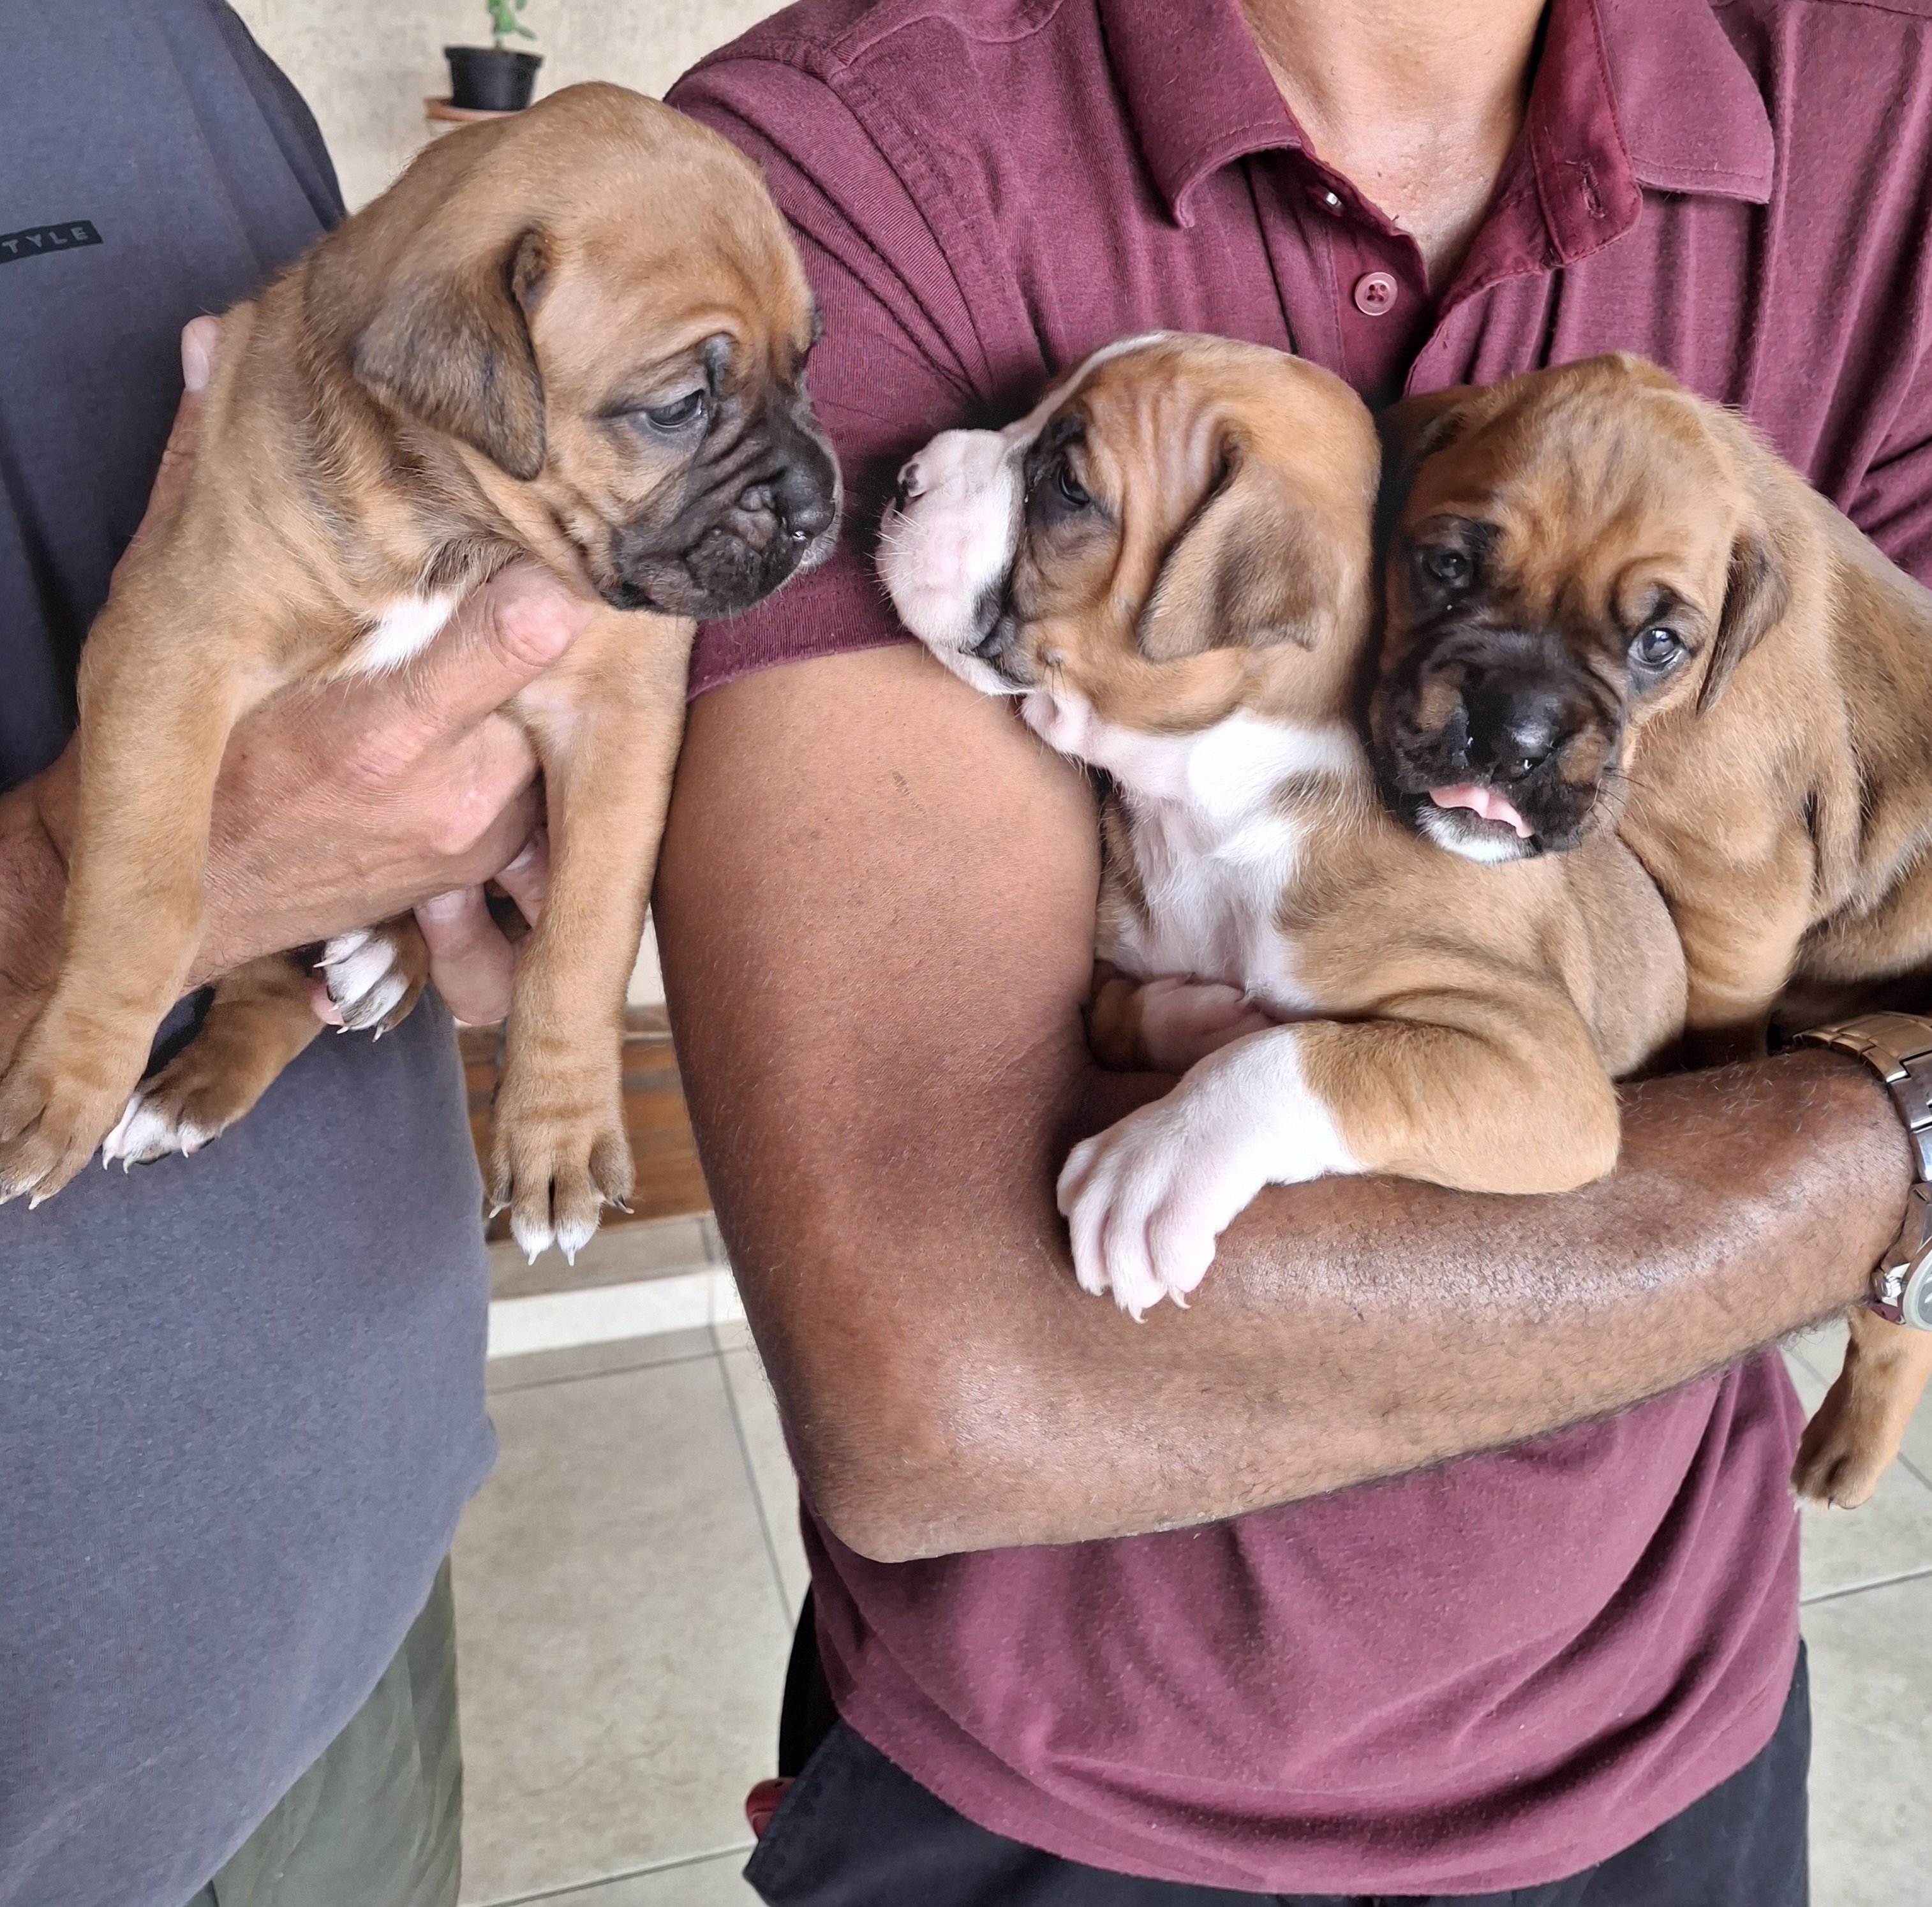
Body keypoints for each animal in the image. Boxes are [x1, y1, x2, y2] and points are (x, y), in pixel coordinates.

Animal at [1, 82, 846, 1259]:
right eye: (676, 408)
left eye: (806, 362)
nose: (823, 508)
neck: (461, 530)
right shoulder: (171, 643)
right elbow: (144, 890)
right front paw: (66, 1082)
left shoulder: (621, 716)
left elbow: (584, 932)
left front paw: (556, 1134)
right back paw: (198, 1084)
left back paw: (381, 964)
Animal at [877, 336, 1677, 1321]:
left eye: (1065, 486)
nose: (903, 479)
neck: (1206, 801)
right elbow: (1116, 1010)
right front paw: (1201, 1016)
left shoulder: (1540, 1061)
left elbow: (1304, 1055)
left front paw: (1156, 1159)